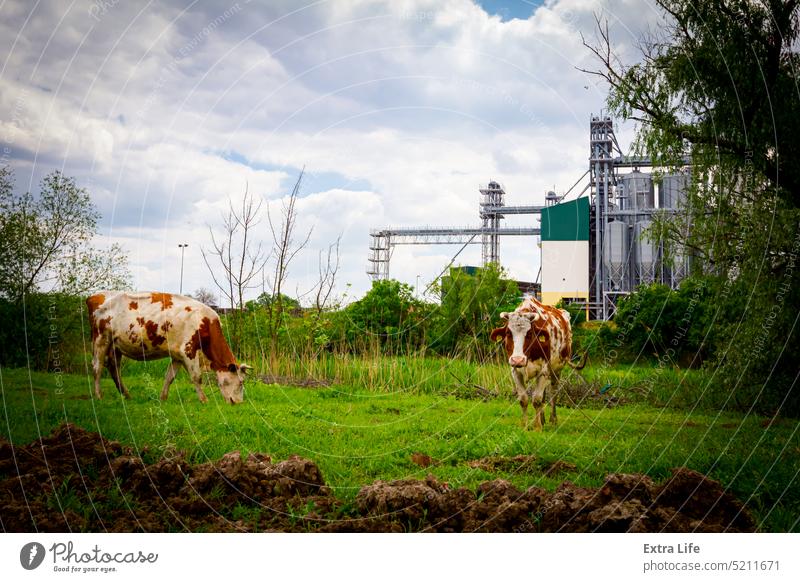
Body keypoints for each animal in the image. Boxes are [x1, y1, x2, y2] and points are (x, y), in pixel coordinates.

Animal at [87, 292, 250, 406]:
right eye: (241, 382)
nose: (238, 403)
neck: (204, 322)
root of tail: (95, 296)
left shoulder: (177, 355)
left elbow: (170, 377)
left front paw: (163, 398)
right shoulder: (188, 350)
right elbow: (197, 376)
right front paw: (204, 400)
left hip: (115, 346)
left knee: (113, 368)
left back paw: (126, 395)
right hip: (101, 339)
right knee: (97, 367)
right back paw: (99, 396)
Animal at [490, 298, 584, 432]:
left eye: (529, 334)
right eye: (508, 333)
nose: (518, 360)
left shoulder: (544, 371)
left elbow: (537, 400)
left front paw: (537, 427)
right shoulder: (515, 371)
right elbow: (524, 399)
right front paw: (525, 425)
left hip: (556, 371)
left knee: (553, 393)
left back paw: (552, 420)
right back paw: (542, 419)